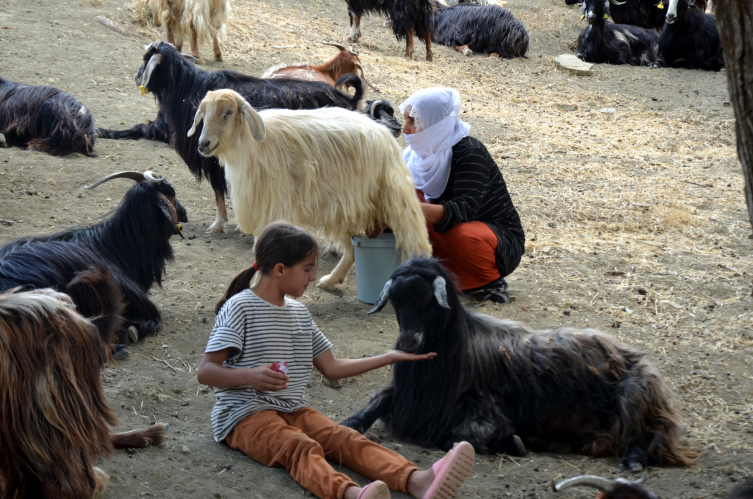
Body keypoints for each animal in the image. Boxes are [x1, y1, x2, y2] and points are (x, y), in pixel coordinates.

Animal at [97, 41, 374, 234]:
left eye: (147, 60)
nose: (136, 77)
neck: (187, 89)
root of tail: (349, 100)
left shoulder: (212, 156)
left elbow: (219, 190)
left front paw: (220, 224)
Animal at [188, 88, 432, 288]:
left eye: (228, 112)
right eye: (203, 113)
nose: (202, 144)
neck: (249, 146)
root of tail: (384, 135)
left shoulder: (274, 207)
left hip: (386, 196)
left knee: (415, 238)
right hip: (345, 207)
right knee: (352, 249)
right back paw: (331, 280)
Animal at [344, 258, 696, 472]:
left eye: (428, 299)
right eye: (396, 302)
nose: (409, 342)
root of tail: (637, 357)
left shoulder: (481, 412)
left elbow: (459, 438)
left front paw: (513, 443)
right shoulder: (405, 397)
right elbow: (376, 402)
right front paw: (351, 422)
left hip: (636, 399)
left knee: (653, 435)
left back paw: (633, 459)